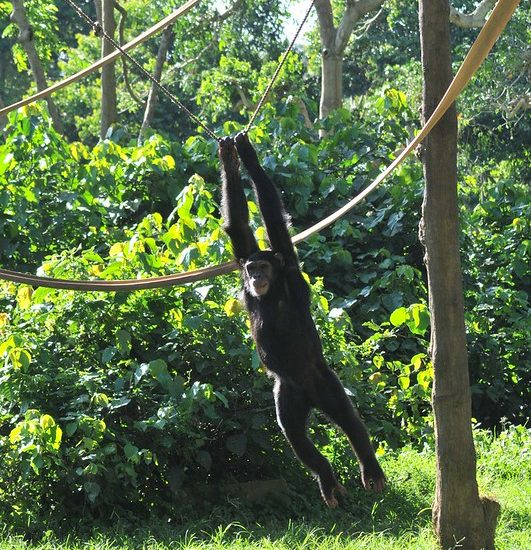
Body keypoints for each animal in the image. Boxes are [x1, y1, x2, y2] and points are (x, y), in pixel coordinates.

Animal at [218, 134, 388, 508]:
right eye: (251, 268)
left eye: (263, 267)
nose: (255, 277)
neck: (271, 293)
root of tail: (310, 395)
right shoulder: (242, 255)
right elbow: (238, 226)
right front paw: (229, 157)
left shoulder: (290, 269)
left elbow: (274, 221)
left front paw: (247, 154)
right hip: (288, 395)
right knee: (296, 437)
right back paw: (327, 479)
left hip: (325, 382)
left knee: (350, 421)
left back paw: (370, 470)